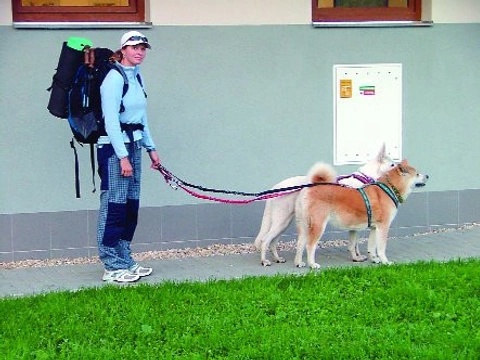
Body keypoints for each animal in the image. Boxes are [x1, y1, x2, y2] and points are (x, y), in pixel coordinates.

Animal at [255, 145, 394, 266]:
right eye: (392, 164)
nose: (398, 165)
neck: (364, 179)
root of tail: (276, 187)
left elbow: (353, 244)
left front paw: (357, 257)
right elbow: (354, 243)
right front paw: (358, 257)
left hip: (285, 223)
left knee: (273, 242)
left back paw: (278, 259)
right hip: (282, 221)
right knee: (265, 240)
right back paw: (264, 261)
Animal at [294, 160, 430, 268]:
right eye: (417, 174)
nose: (428, 175)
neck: (390, 188)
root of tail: (311, 186)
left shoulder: (375, 228)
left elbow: (372, 247)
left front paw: (374, 259)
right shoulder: (383, 227)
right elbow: (381, 248)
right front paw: (385, 262)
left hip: (304, 225)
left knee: (300, 244)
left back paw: (298, 263)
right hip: (318, 225)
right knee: (309, 246)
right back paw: (312, 264)